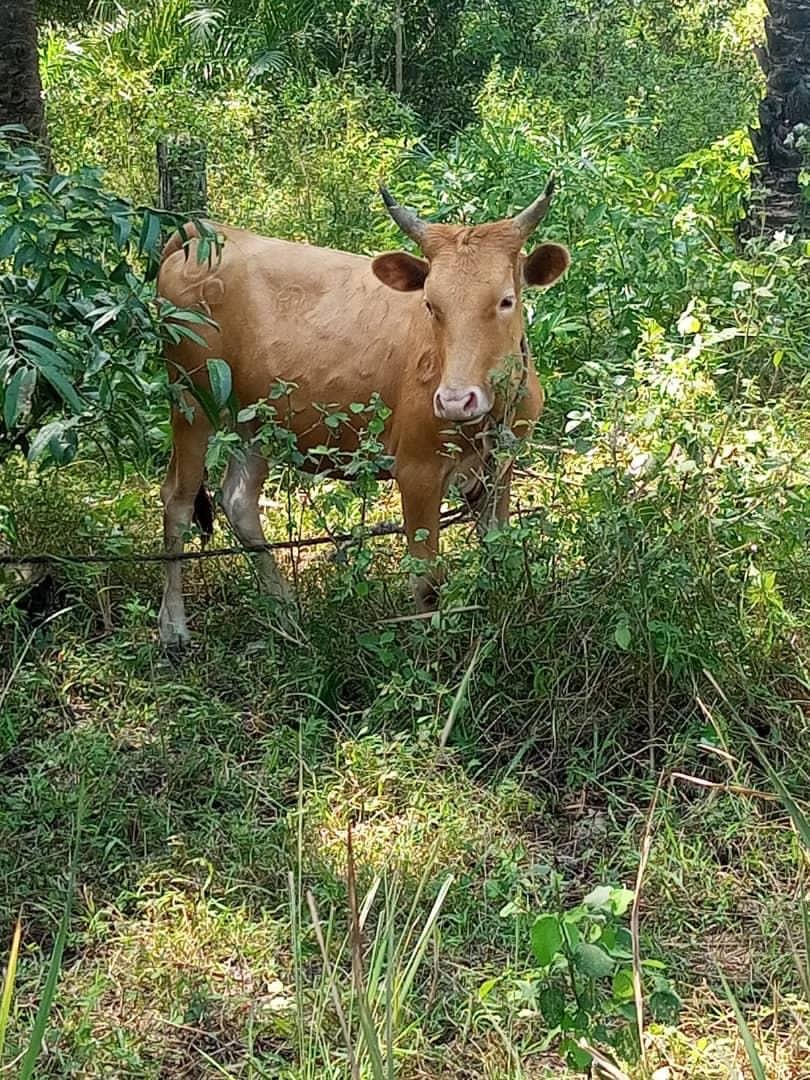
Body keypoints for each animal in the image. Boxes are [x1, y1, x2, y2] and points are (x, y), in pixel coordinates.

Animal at [156, 181, 570, 647]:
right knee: (177, 500)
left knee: (239, 501)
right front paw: (434, 650)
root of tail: (205, 234)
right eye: (431, 304)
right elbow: (428, 580)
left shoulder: (501, 463)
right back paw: (174, 627)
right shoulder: (417, 470)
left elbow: (499, 551)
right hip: (191, 396)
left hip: (256, 418)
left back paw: (286, 613)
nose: (454, 400)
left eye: (506, 300)